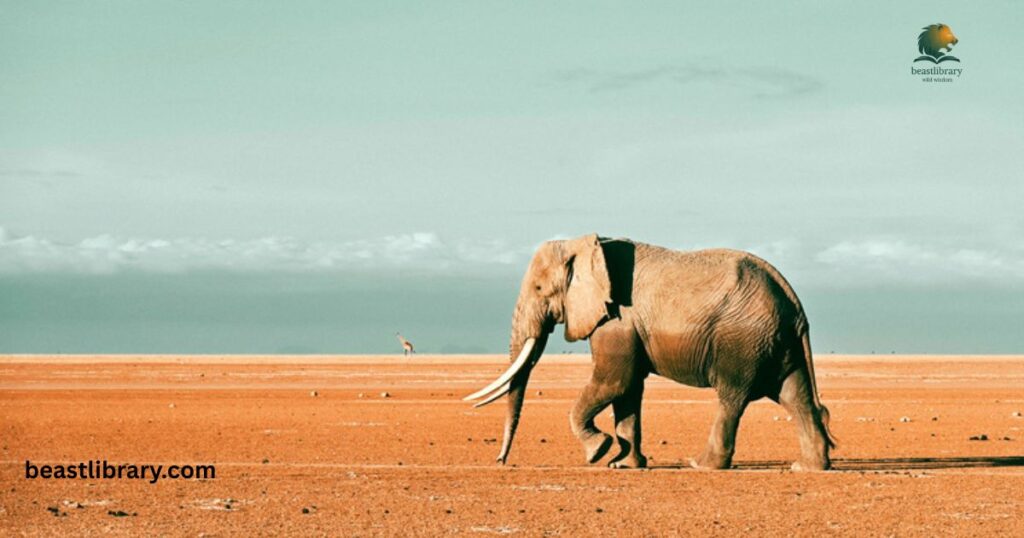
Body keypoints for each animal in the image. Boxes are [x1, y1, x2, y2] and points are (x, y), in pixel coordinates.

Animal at [465, 234, 835, 471]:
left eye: (540, 288)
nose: (501, 462)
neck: (583, 245)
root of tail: (793, 301)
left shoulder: (617, 318)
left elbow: (614, 380)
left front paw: (597, 452)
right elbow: (628, 389)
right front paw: (623, 464)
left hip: (743, 339)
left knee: (733, 398)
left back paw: (701, 465)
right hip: (775, 342)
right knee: (795, 396)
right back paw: (807, 468)